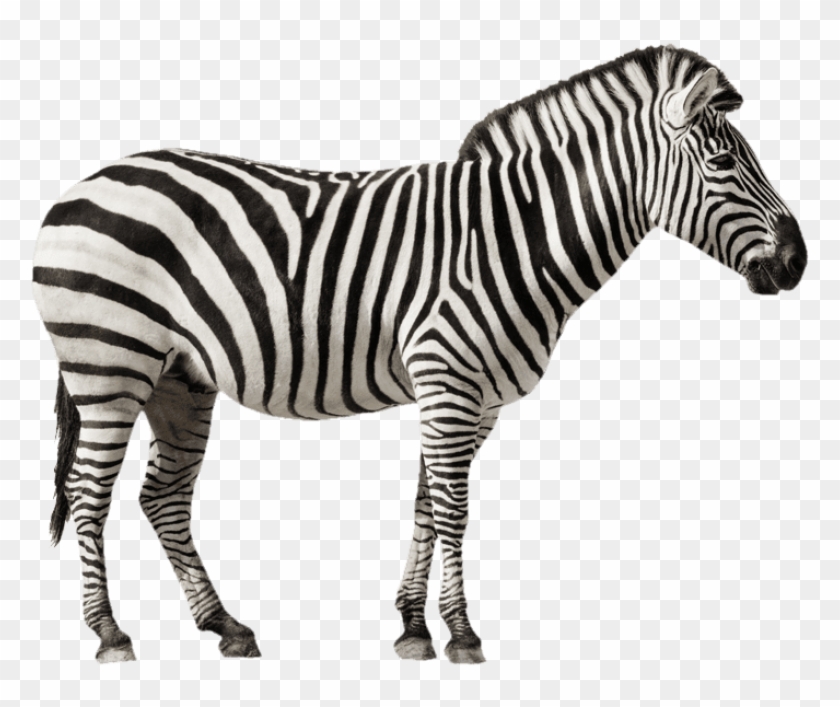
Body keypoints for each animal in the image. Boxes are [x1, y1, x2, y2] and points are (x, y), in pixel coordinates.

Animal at [32, 45, 807, 664]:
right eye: (723, 161)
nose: (798, 263)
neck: (514, 237)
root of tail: (79, 186)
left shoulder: (475, 397)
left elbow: (427, 504)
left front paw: (412, 626)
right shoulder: (449, 378)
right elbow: (454, 508)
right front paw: (461, 633)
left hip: (179, 378)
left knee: (162, 496)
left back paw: (225, 624)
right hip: (110, 365)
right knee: (90, 494)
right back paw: (110, 633)